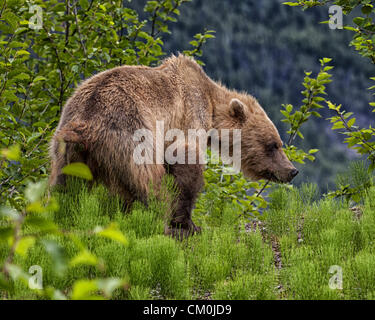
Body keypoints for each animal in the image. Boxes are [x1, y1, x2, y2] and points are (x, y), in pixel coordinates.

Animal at [50, 54, 298, 238]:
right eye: (273, 145)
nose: (292, 171)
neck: (211, 105)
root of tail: (85, 124)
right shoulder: (188, 114)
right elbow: (186, 160)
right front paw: (188, 224)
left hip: (67, 151)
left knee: (65, 188)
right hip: (129, 137)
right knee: (148, 182)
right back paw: (161, 223)